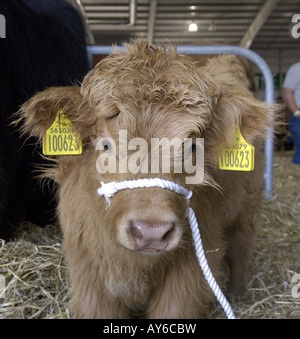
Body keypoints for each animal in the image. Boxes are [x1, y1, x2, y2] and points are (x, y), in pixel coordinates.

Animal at [17, 39, 274, 318]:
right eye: (105, 145)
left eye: (191, 147)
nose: (152, 231)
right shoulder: (88, 271)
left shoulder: (188, 274)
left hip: (248, 207)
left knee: (241, 249)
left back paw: (239, 295)